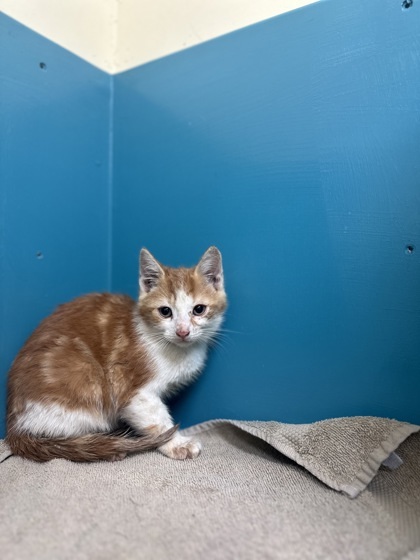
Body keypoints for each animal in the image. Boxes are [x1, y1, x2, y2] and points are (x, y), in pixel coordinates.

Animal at [6, 247, 226, 462]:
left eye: (199, 309)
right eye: (165, 311)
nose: (182, 332)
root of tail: (13, 427)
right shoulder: (129, 388)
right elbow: (156, 419)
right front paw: (177, 443)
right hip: (85, 381)